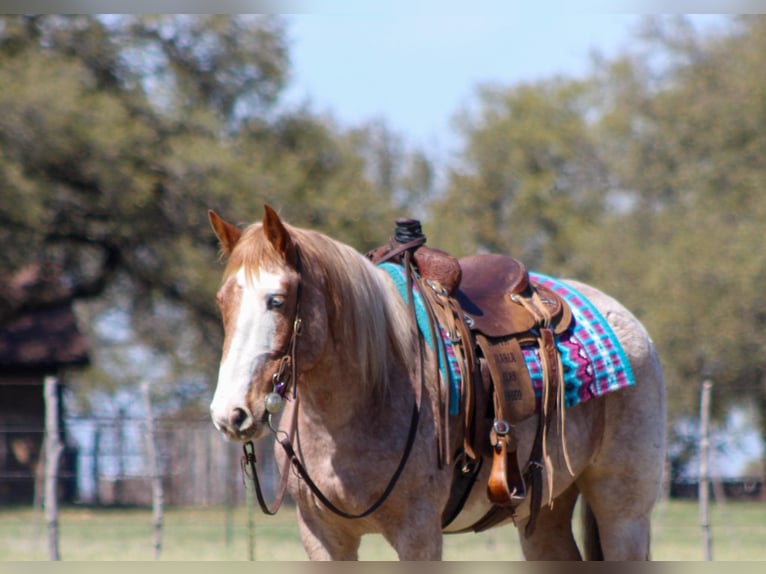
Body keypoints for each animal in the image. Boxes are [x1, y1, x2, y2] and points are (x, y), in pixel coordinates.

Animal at [207, 205, 666, 561]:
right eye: (222, 301)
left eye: (277, 300)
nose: (231, 414)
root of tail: (631, 323)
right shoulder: (323, 537)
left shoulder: (418, 534)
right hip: (547, 512)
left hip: (623, 510)